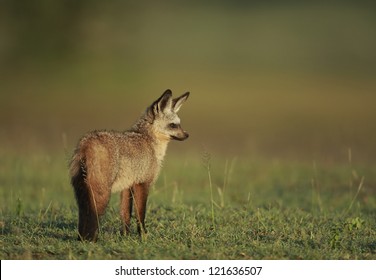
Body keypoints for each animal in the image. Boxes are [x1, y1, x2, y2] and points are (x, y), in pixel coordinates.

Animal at [69, 89, 189, 241]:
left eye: (180, 124)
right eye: (173, 125)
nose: (187, 135)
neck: (149, 142)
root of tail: (86, 143)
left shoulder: (127, 186)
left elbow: (125, 214)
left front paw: (125, 237)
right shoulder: (142, 183)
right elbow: (140, 214)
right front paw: (143, 236)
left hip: (82, 192)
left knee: (83, 215)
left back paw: (82, 239)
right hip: (102, 193)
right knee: (93, 215)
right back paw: (91, 241)